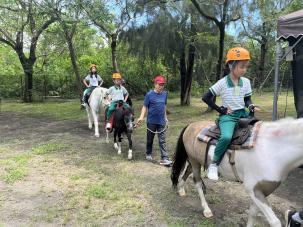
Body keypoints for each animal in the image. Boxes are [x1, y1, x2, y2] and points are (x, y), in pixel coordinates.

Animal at [171, 118, 303, 226]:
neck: (272, 148)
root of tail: (191, 125)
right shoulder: (253, 189)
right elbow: (274, 221)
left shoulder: (263, 191)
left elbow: (252, 214)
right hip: (194, 161)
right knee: (197, 182)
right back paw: (206, 210)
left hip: (195, 161)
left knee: (187, 171)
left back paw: (181, 189)